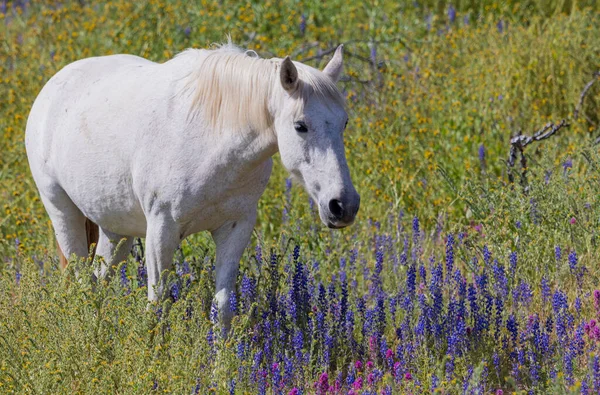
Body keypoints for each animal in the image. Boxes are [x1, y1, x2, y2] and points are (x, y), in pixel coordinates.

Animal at [25, 42, 358, 328]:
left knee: (97, 284)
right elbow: (157, 306)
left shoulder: (236, 227)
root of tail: (52, 87)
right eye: (300, 126)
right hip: (62, 211)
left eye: (344, 123)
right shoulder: (161, 229)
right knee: (81, 282)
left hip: (115, 230)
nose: (343, 205)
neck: (212, 138)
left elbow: (222, 309)